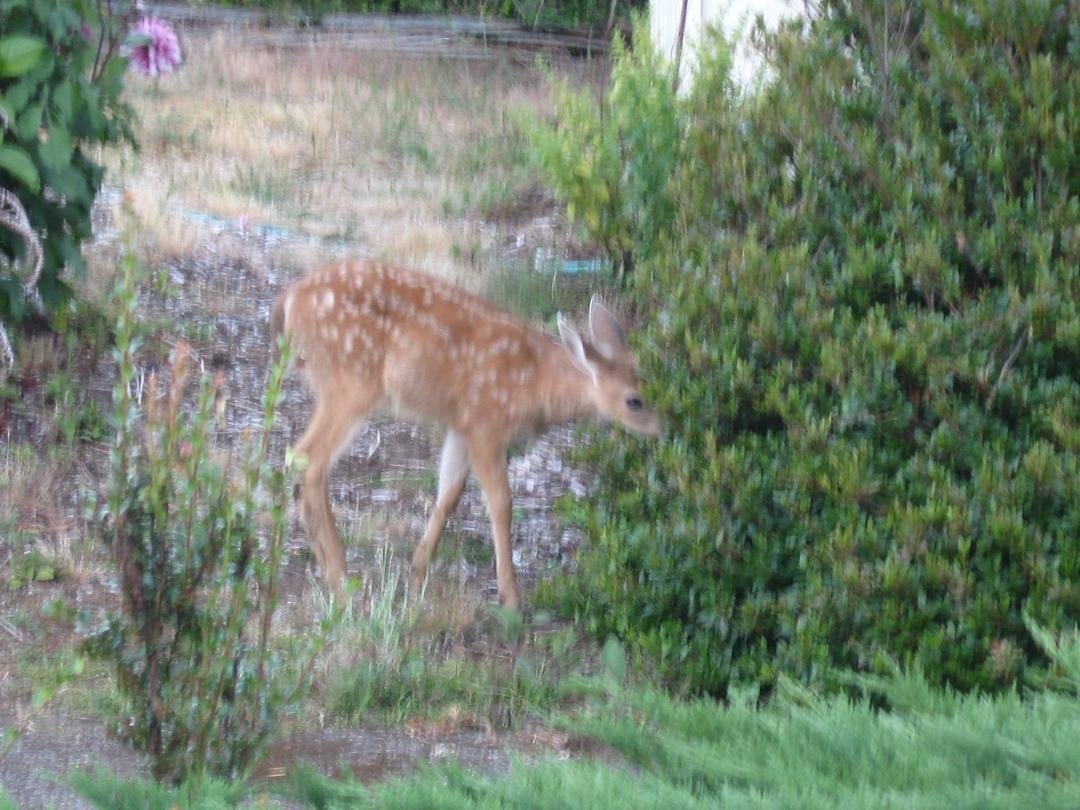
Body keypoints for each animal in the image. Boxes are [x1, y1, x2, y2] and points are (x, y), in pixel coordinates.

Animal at [270, 259, 659, 611]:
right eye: (634, 401)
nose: (662, 429)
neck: (535, 383)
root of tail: (288, 301)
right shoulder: (487, 422)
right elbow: (502, 503)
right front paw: (511, 597)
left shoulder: (461, 423)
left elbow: (450, 492)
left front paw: (418, 570)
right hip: (352, 382)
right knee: (307, 458)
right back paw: (341, 579)